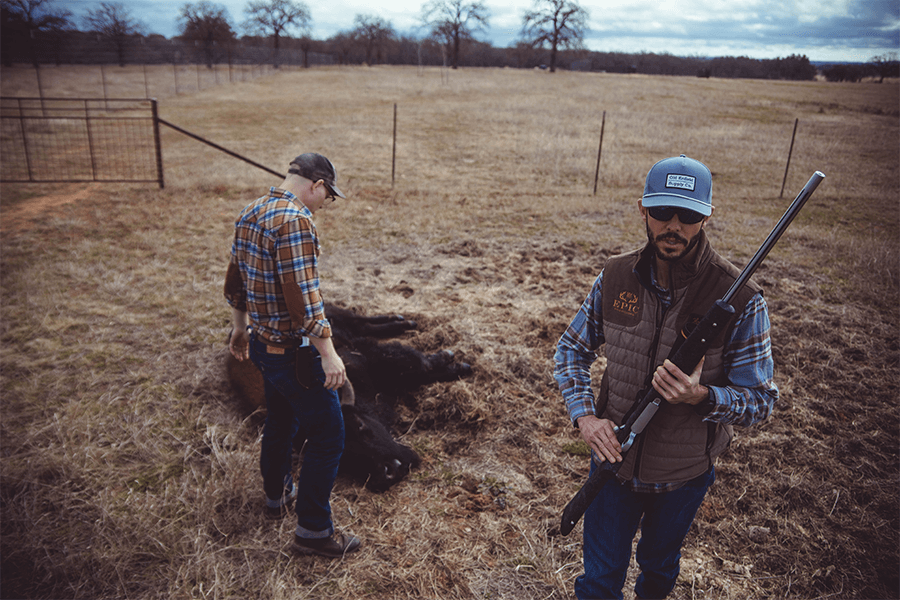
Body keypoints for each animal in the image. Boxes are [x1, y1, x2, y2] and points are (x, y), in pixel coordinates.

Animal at [225, 304, 474, 492]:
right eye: (343, 455)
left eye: (361, 425)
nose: (390, 471)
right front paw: (455, 363)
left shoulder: (371, 357)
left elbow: (417, 366)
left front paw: (455, 361)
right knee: (362, 325)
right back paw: (402, 322)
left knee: (359, 319)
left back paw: (406, 322)